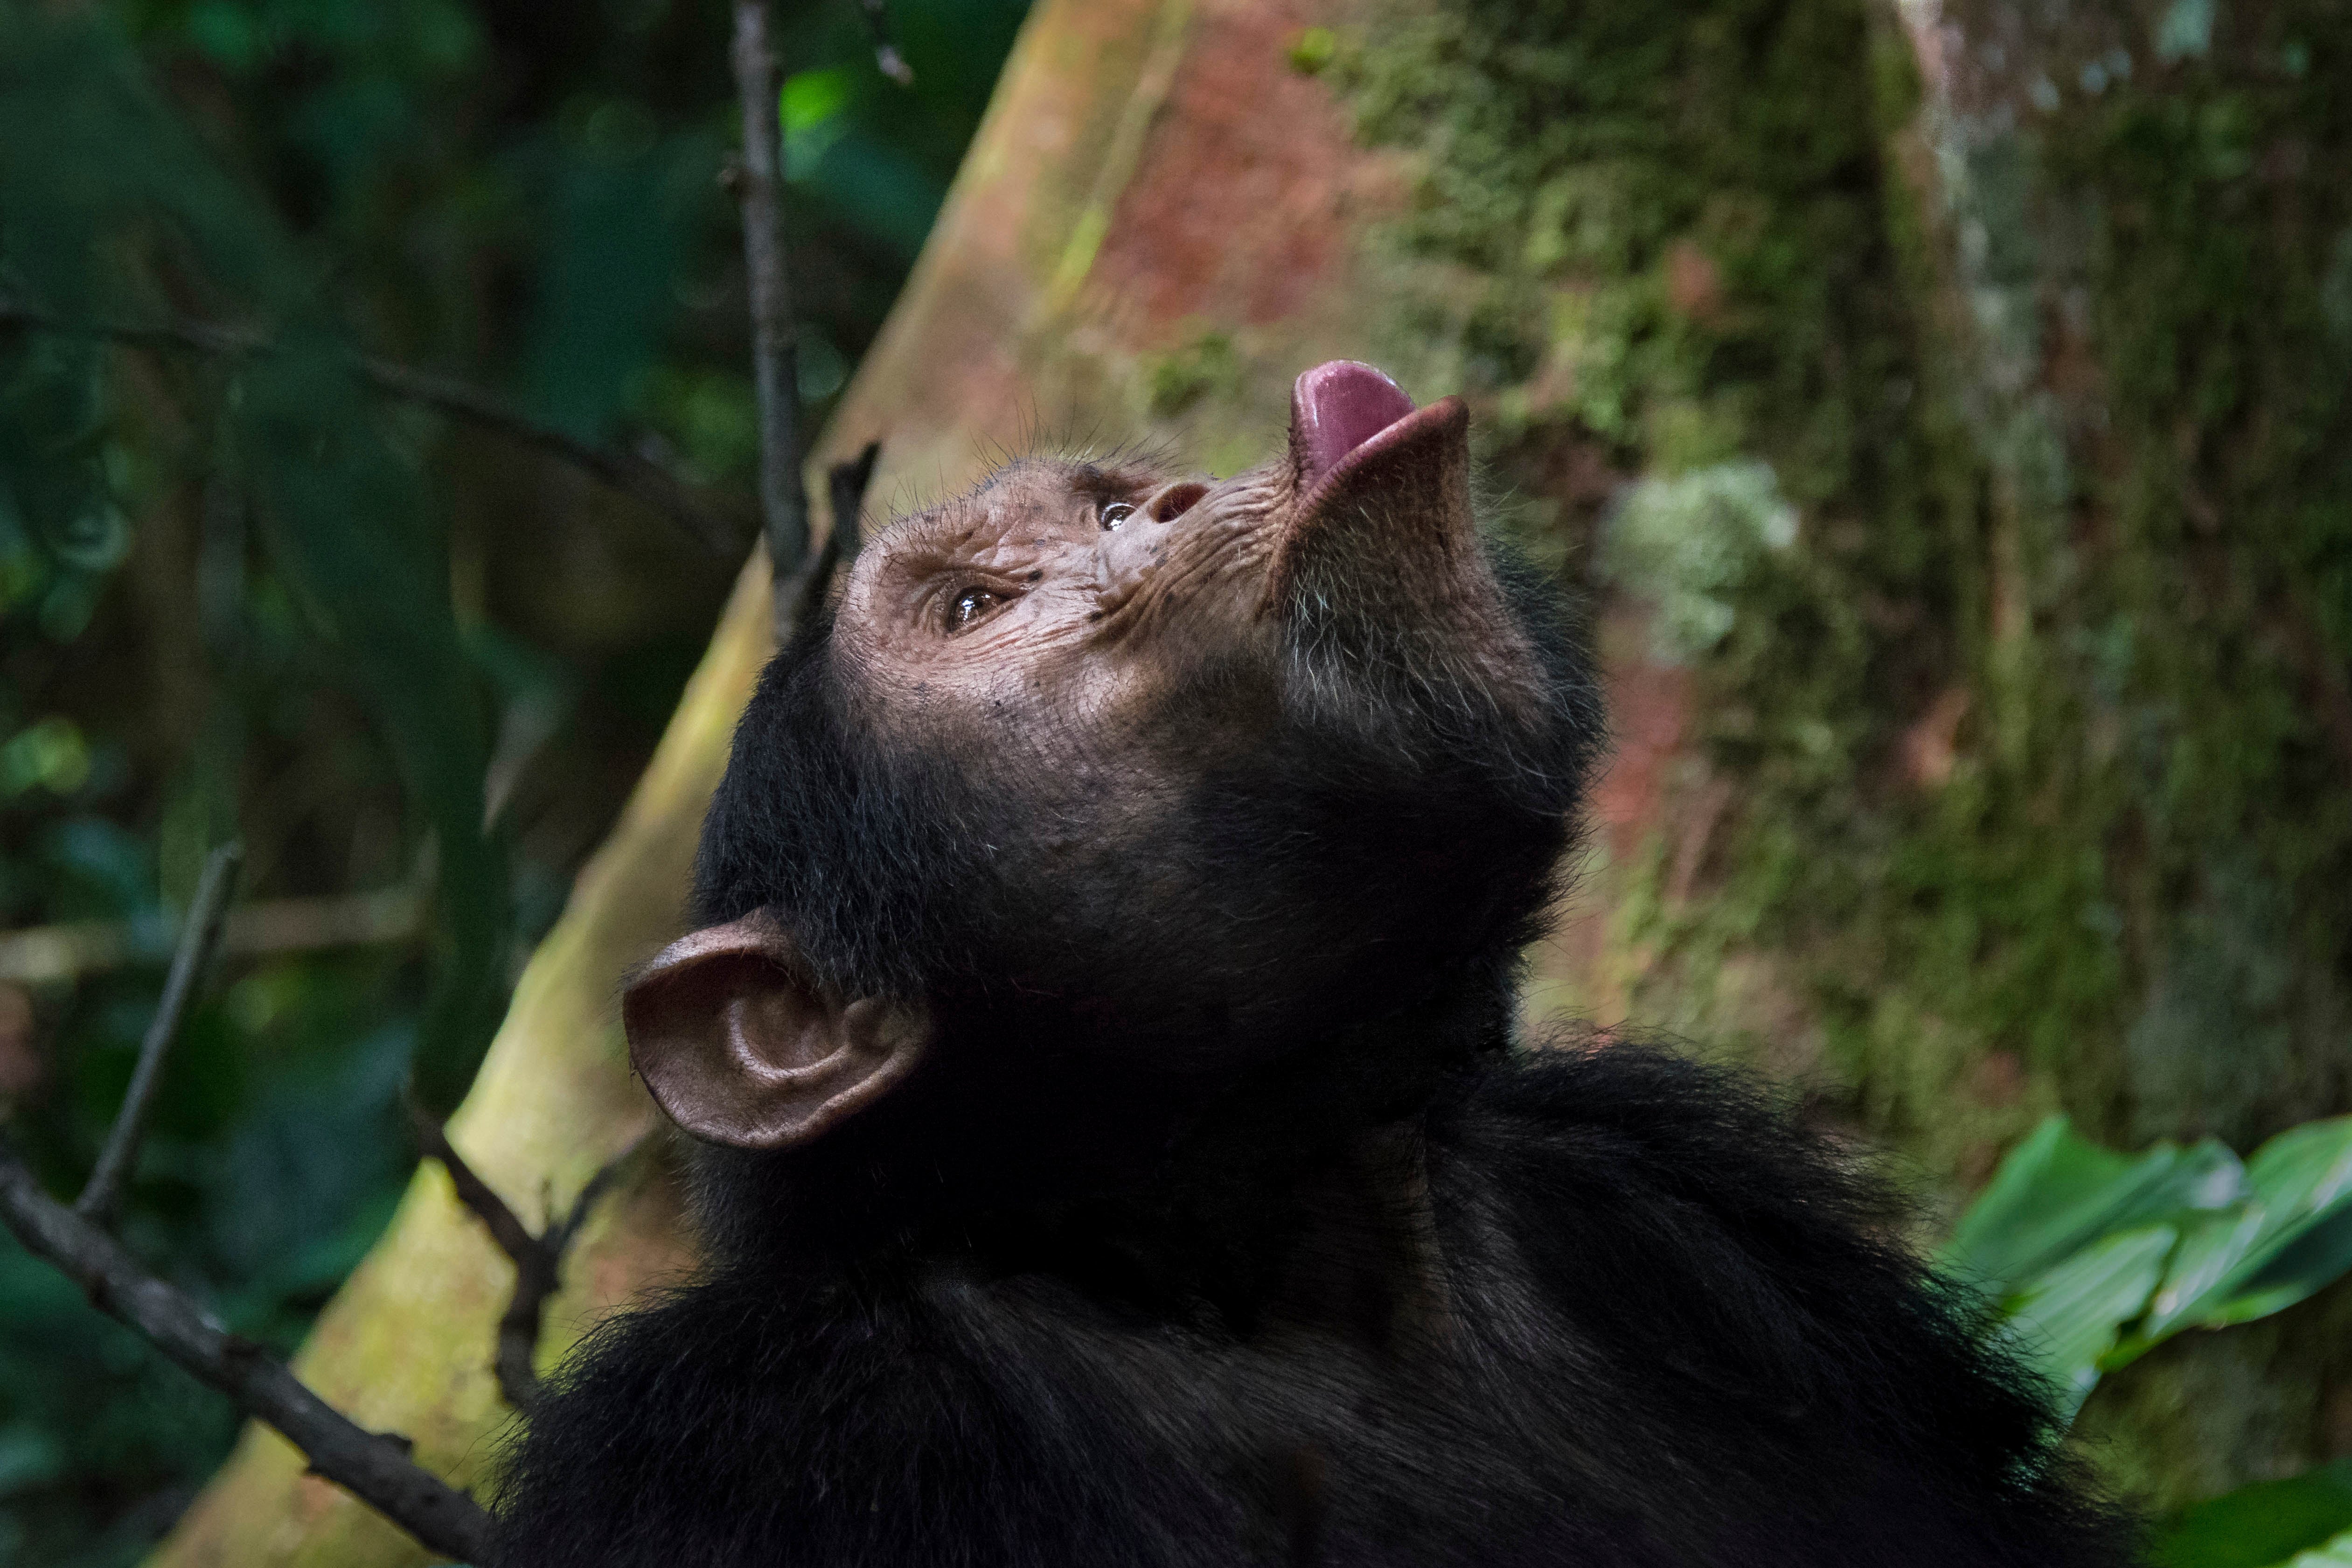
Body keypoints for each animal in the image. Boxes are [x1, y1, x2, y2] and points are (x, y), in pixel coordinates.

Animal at [492, 362, 2134, 1567]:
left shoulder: (1682, 1188)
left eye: (1099, 506)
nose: (1161, 498)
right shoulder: (754, 1445)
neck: (1265, 1257)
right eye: (971, 607)